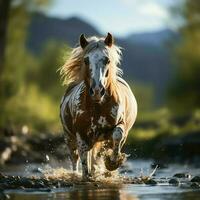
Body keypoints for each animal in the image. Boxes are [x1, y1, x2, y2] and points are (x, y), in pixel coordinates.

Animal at [59, 32, 138, 180]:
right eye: (86, 60)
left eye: (107, 60)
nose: (97, 91)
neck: (98, 107)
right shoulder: (81, 135)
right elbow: (83, 158)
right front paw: (86, 176)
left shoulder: (120, 126)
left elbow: (117, 135)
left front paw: (112, 163)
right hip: (69, 137)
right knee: (74, 158)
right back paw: (75, 174)